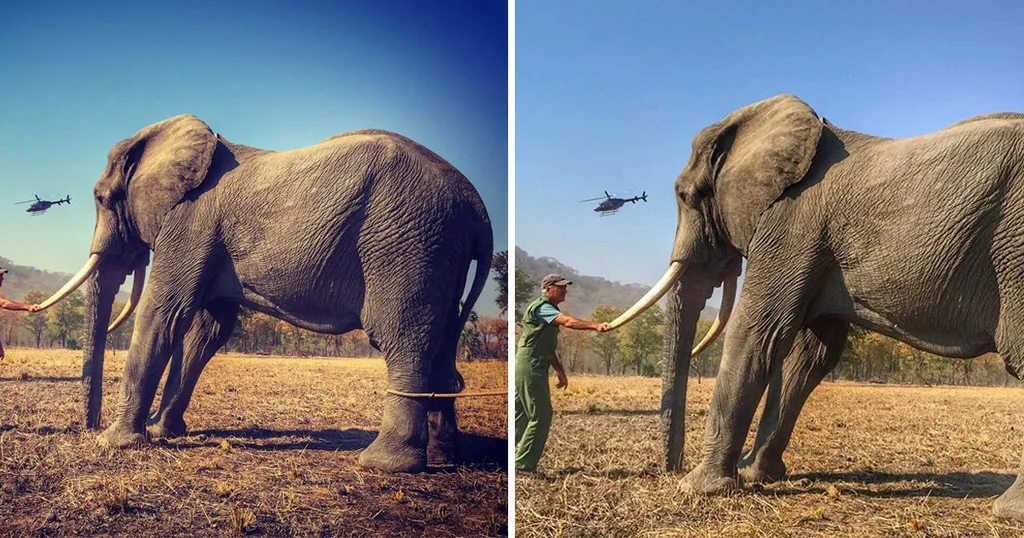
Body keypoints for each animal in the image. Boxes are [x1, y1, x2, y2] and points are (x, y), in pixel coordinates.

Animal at [35, 114, 494, 473]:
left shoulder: (191, 222)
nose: (89, 425)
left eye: (101, 198)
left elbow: (163, 313)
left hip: (408, 246)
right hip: (438, 253)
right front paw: (163, 431)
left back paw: (383, 464)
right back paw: (445, 457)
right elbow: (207, 331)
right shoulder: (207, 236)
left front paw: (118, 442)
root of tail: (476, 204)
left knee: (401, 339)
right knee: (441, 345)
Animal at [608, 94, 1024, 520]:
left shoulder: (790, 224)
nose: (668, 468)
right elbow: (811, 355)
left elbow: (756, 332)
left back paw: (1007, 511)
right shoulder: (812, 246)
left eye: (685, 196)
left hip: (1015, 252)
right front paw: (757, 475)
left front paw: (699, 487)